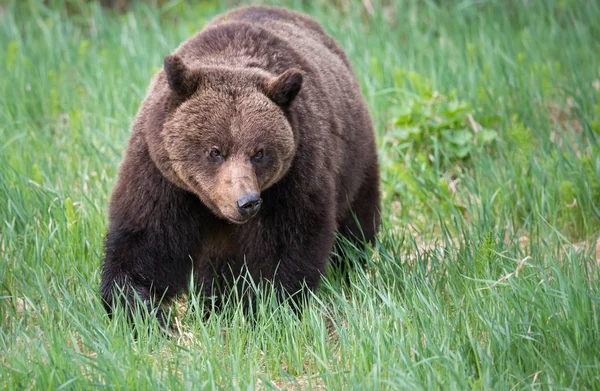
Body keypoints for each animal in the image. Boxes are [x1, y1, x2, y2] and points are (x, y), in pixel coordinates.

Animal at [98, 5, 380, 328]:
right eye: (215, 151)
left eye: (259, 152)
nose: (247, 202)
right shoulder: (160, 173)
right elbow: (144, 240)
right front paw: (143, 310)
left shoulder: (295, 174)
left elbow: (286, 247)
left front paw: (262, 308)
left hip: (355, 158)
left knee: (356, 221)